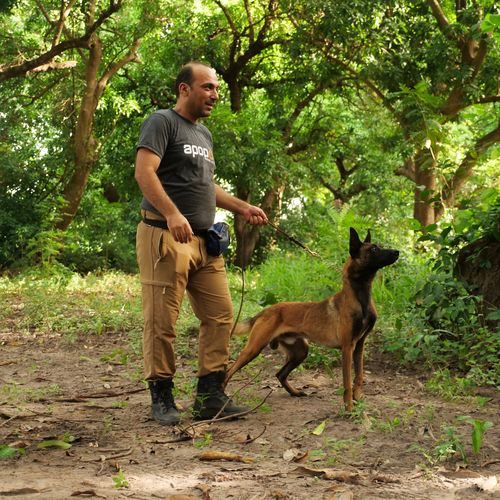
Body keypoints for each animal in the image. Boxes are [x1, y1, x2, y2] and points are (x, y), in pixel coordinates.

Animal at [225, 229, 400, 412]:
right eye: (373, 249)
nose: (397, 252)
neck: (360, 297)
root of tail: (265, 311)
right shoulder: (347, 348)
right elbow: (347, 382)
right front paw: (349, 409)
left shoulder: (359, 345)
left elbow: (359, 377)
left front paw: (358, 403)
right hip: (253, 349)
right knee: (228, 372)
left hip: (301, 350)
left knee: (280, 374)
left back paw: (295, 392)